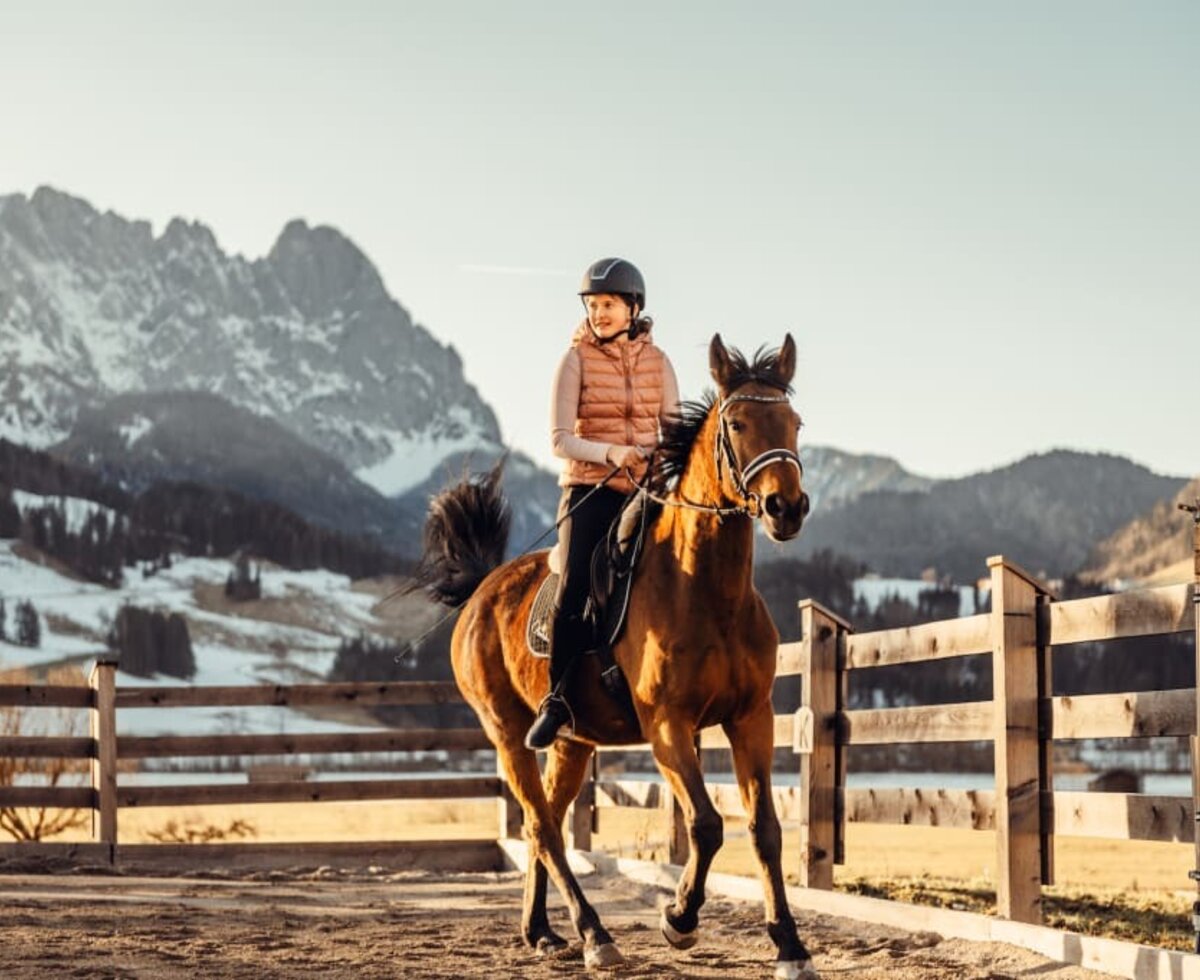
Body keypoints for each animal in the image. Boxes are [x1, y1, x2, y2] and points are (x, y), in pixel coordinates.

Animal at [417, 333, 820, 974]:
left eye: (794, 422)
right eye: (736, 424)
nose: (787, 508)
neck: (707, 589)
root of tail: (482, 590)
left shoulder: (749, 718)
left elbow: (764, 829)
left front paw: (789, 945)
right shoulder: (667, 724)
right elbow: (706, 825)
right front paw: (679, 920)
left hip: (573, 742)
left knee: (546, 826)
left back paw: (542, 932)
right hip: (508, 734)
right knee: (543, 828)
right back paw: (594, 934)